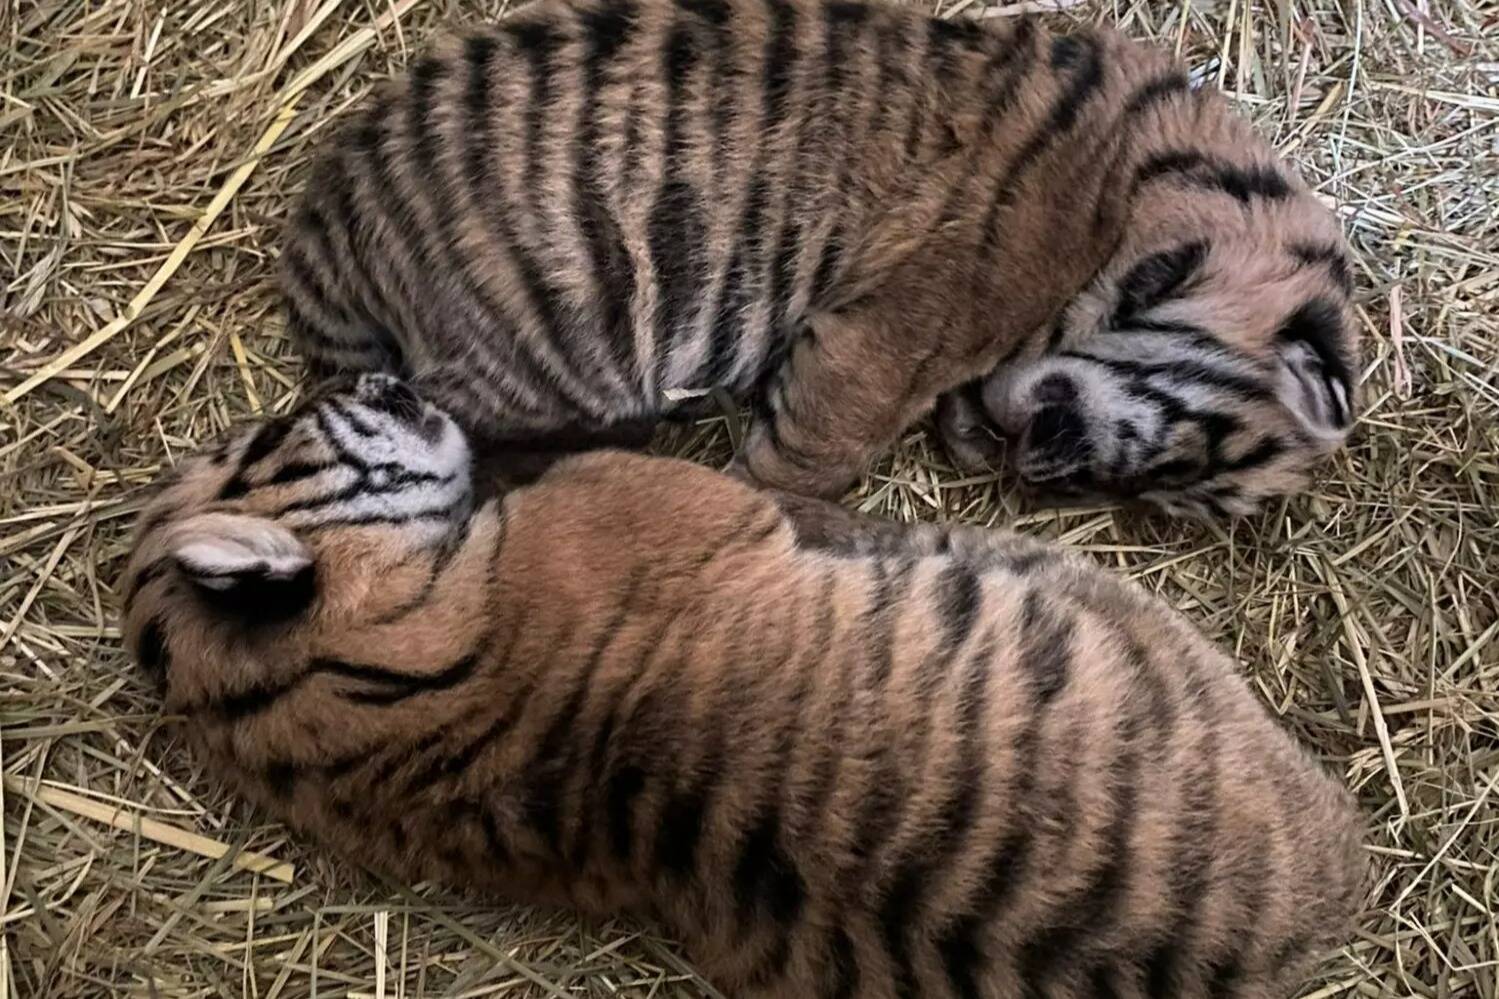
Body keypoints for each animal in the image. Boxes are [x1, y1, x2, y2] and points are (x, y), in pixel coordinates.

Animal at [280, 0, 1360, 518]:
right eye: (1179, 465)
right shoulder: (883, 337)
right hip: (553, 345)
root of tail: (330, 213)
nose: (1042, 476)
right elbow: (813, 456)